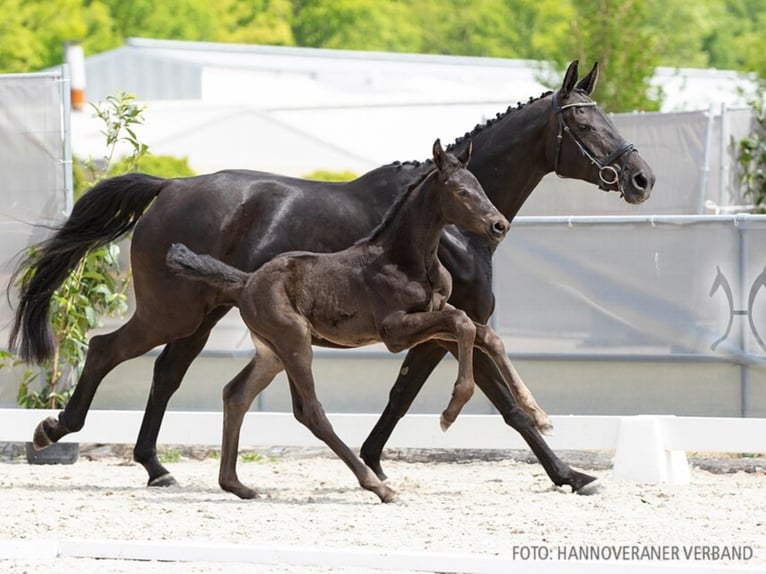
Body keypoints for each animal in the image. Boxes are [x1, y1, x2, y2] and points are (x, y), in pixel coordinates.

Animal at [164, 141, 520, 504]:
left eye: (480, 186)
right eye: (462, 191)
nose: (499, 225)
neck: (407, 260)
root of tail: (247, 281)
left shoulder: (431, 320)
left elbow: (484, 334)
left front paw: (533, 409)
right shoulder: (395, 331)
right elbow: (463, 322)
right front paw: (451, 411)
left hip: (272, 353)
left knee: (236, 394)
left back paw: (236, 484)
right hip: (294, 341)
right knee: (310, 411)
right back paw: (378, 486)